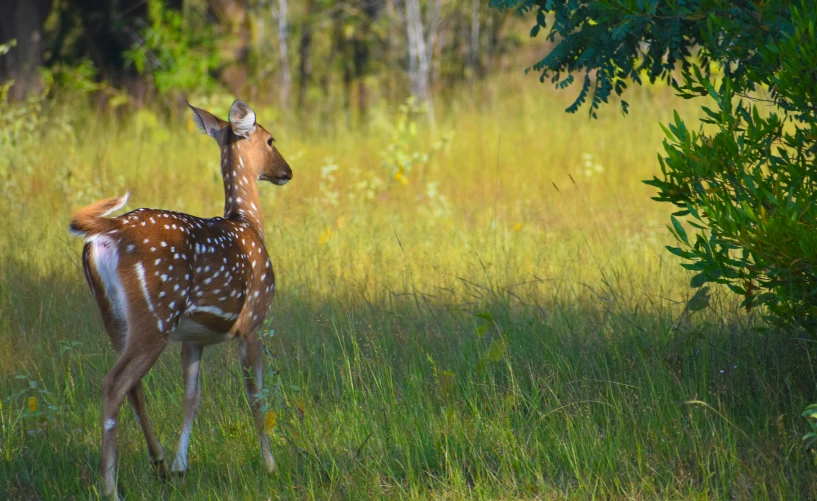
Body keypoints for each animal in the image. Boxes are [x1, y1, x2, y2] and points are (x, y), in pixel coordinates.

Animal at [69, 98, 294, 496]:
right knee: (114, 383)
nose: (287, 171)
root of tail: (105, 233)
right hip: (156, 312)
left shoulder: (194, 338)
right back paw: (111, 487)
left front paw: (180, 467)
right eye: (270, 140)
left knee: (133, 386)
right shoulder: (252, 321)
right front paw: (270, 466)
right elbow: (256, 395)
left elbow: (192, 398)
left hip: (113, 316)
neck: (248, 224)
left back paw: (158, 463)